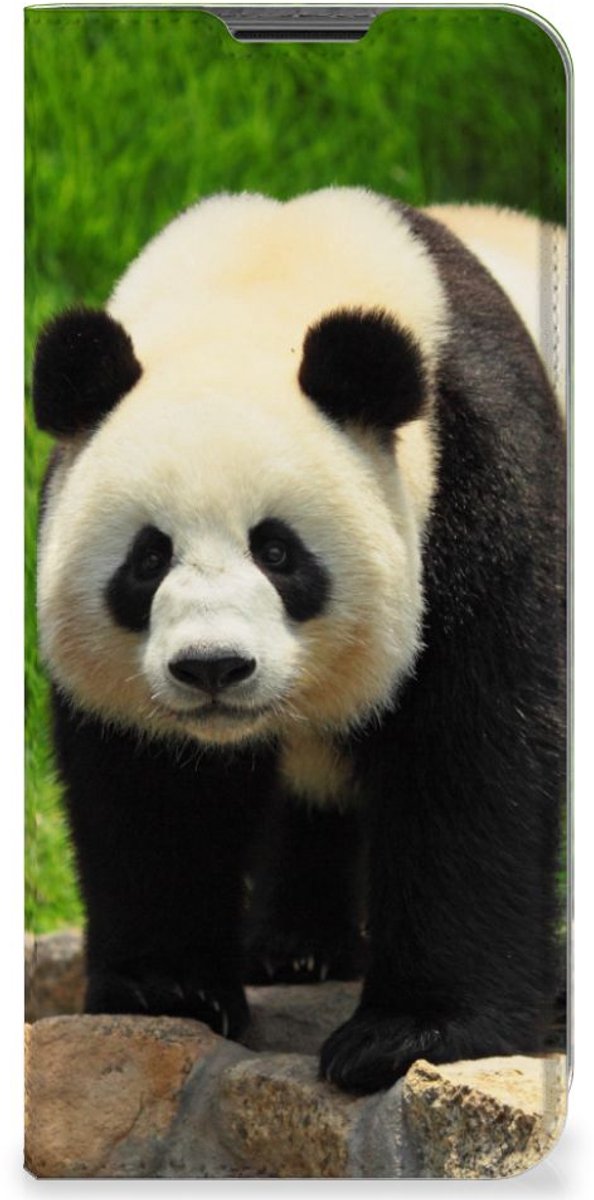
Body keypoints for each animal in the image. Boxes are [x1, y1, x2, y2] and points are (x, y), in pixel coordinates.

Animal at [33, 188, 566, 1095]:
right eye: (148, 558)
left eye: (278, 552)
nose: (212, 667)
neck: (263, 280)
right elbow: (151, 788)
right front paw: (168, 988)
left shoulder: (480, 485)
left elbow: (476, 755)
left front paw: (408, 1033)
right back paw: (296, 947)